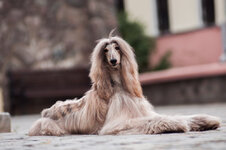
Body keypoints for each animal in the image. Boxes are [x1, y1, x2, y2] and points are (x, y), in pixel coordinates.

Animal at [28, 33, 221, 136]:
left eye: (117, 48)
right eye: (106, 50)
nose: (113, 61)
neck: (117, 86)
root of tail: (46, 112)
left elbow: (180, 116)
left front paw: (204, 120)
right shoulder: (117, 123)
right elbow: (154, 120)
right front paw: (172, 124)